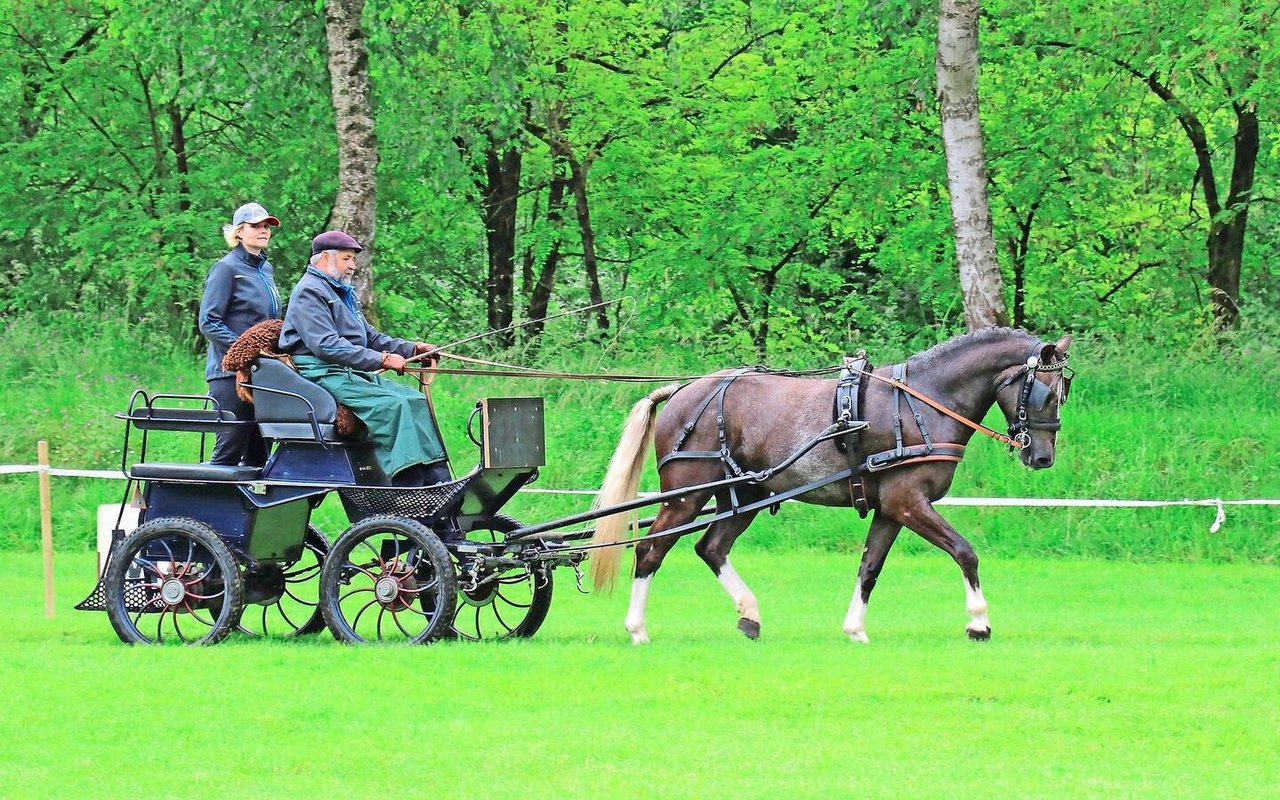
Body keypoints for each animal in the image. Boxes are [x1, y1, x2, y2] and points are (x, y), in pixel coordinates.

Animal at [588, 325, 1070, 642]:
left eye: (1062, 391)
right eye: (1046, 392)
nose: (1042, 457)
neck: (922, 404)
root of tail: (681, 391)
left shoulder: (891, 508)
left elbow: (869, 567)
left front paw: (855, 629)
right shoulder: (910, 502)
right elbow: (965, 552)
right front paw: (978, 622)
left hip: (745, 494)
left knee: (711, 548)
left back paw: (749, 615)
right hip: (687, 495)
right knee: (650, 550)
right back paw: (637, 628)